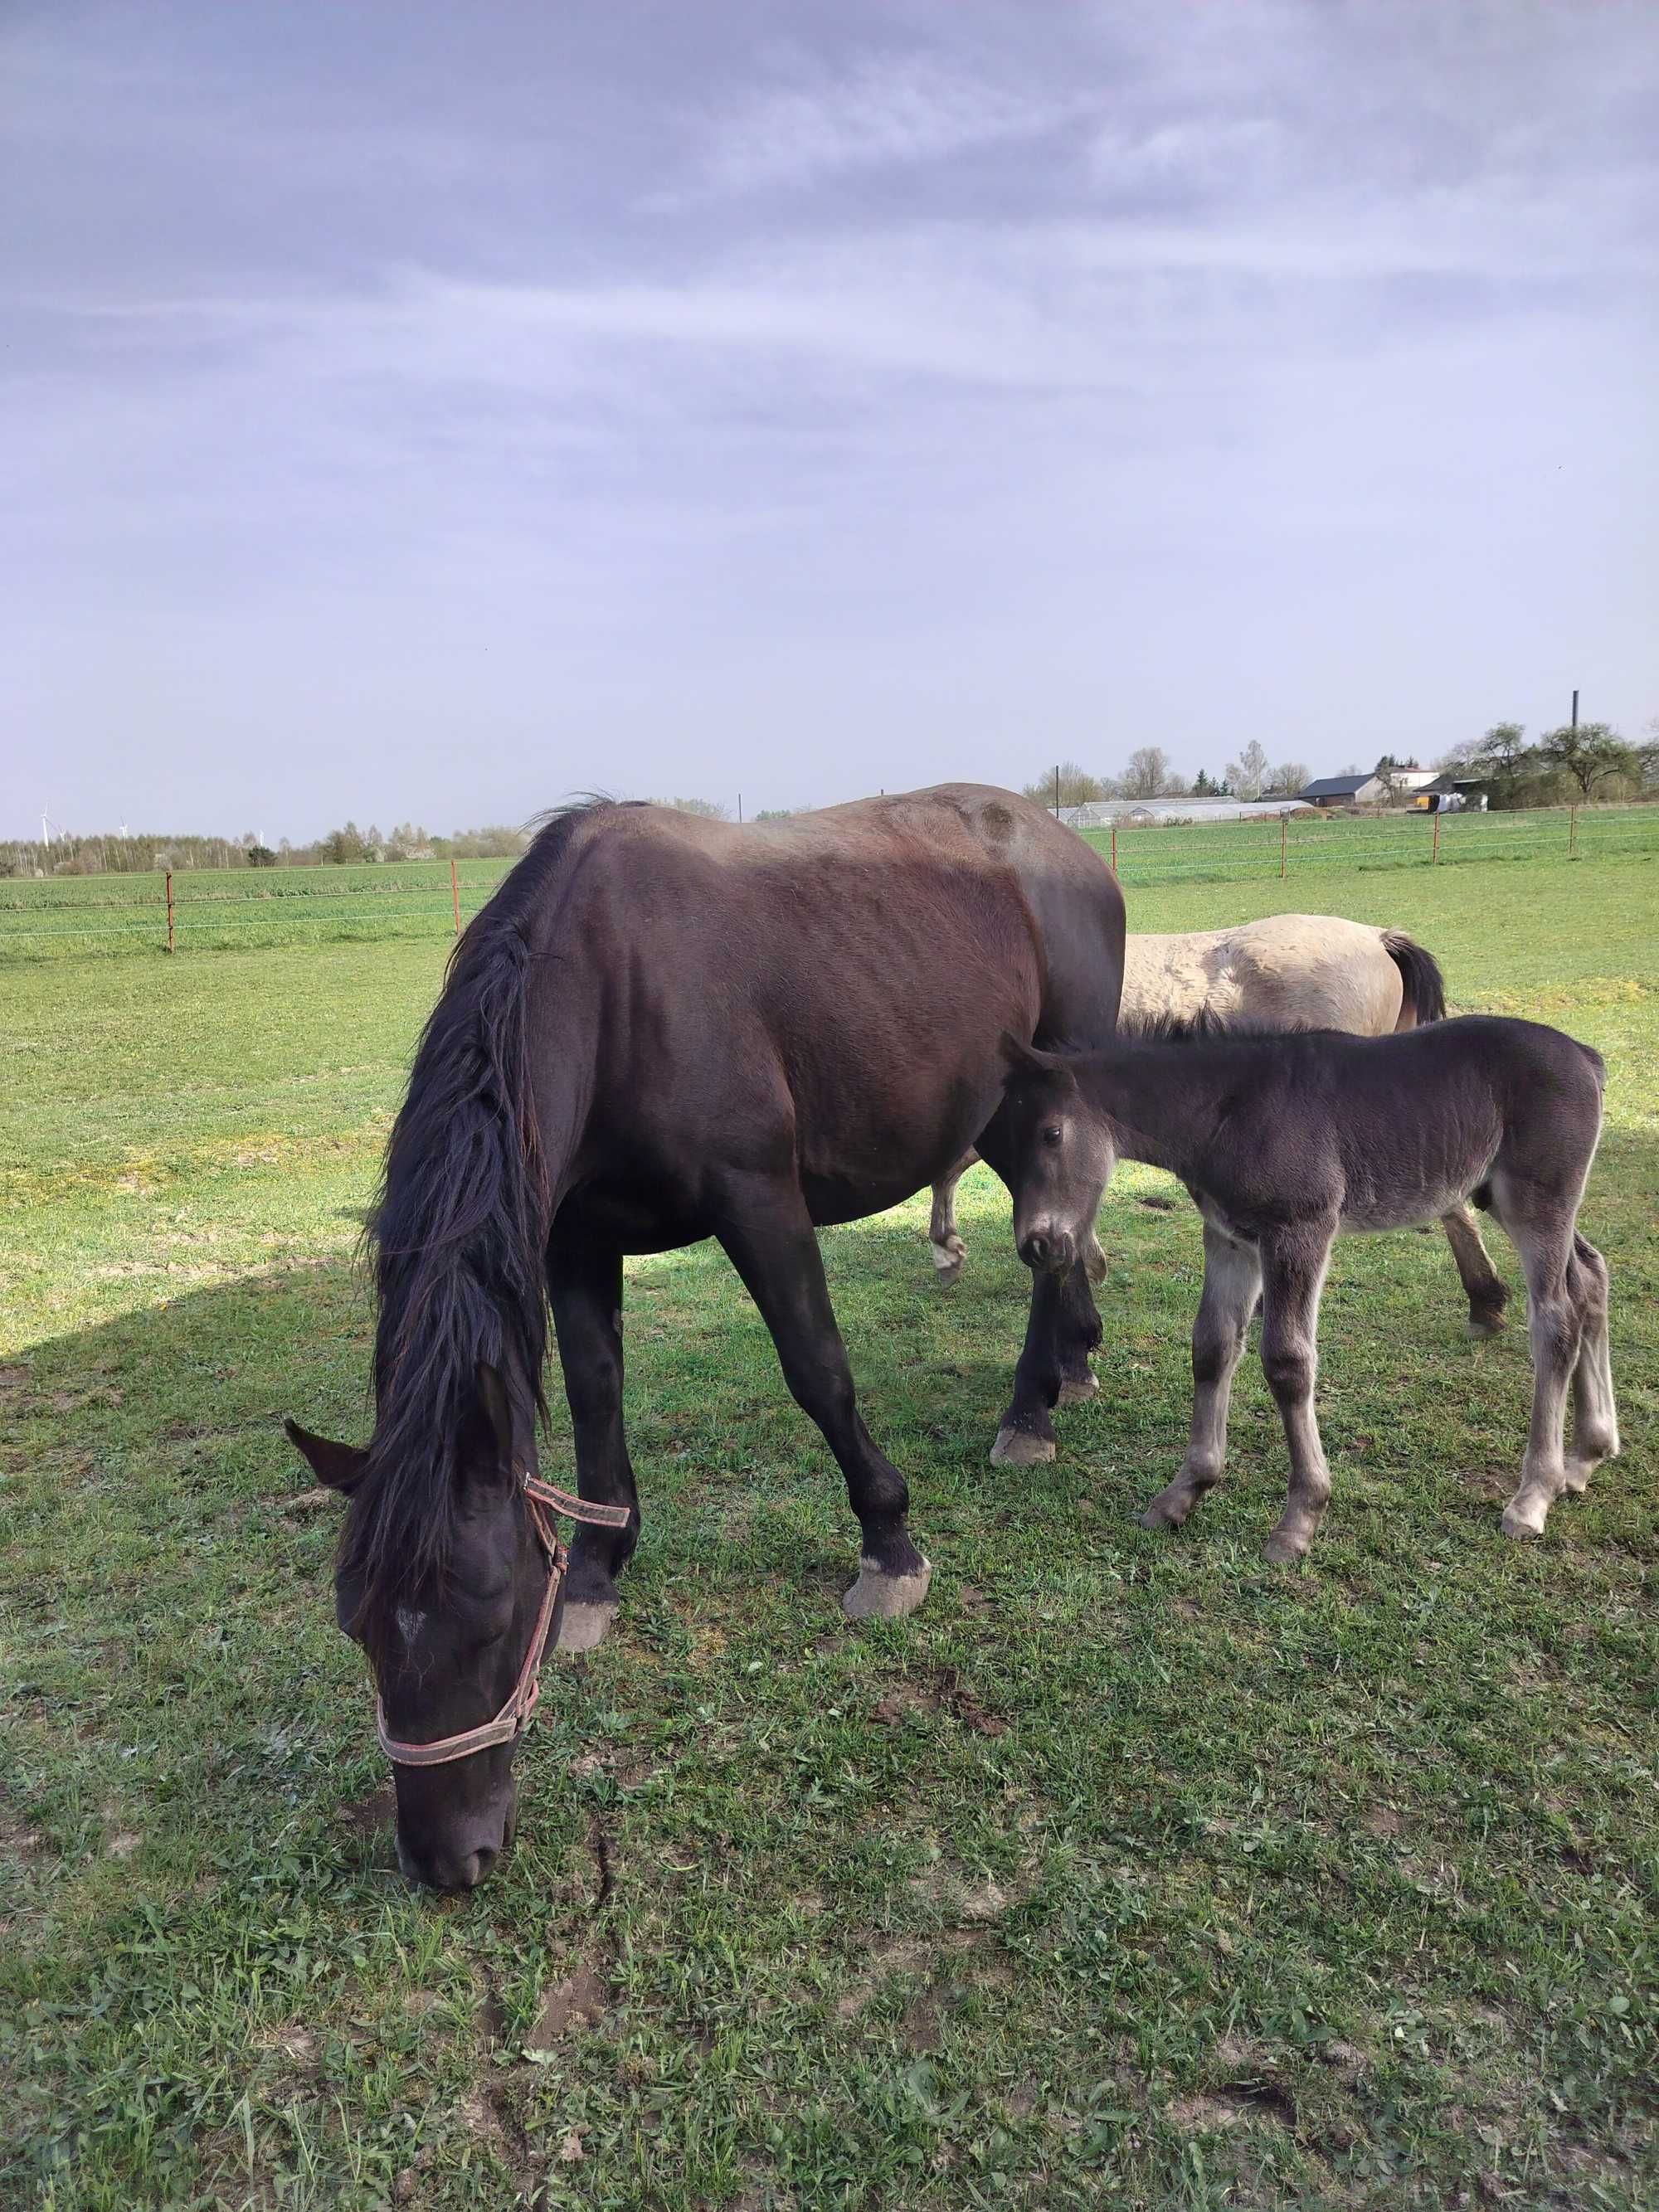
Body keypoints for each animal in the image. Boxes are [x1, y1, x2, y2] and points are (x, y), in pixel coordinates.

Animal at [289, 787, 1132, 1893]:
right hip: (995, 1108)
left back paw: (1029, 1409)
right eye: (355, 1624)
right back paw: (1069, 1364)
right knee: (1056, 1238)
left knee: (1050, 1240)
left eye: (494, 1613)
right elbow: (596, 1391)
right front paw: (598, 1569)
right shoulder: (573, 1237)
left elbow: (816, 1369)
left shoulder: (758, 1199)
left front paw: (888, 1545)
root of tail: (1066, 843)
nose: (446, 1861)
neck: (611, 989)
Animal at [995, 1013, 1619, 1557]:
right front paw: (1184, 1493)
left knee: (1556, 1317)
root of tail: (1585, 1056)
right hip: (1507, 1199)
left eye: (1051, 1133)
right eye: (1003, 1147)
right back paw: (1586, 1456)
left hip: (1538, 1202)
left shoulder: (1300, 1231)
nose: (1036, 1246)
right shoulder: (1231, 1239)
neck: (1229, 1109)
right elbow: (1212, 1347)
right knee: (1591, 1278)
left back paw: (1534, 1494)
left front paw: (1300, 1520)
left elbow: (1287, 1361)